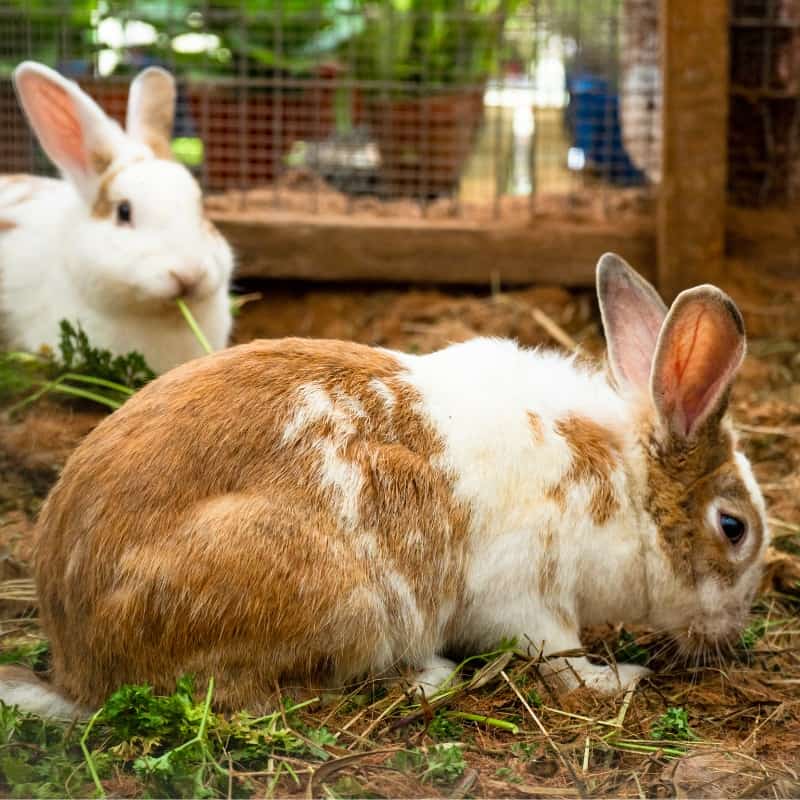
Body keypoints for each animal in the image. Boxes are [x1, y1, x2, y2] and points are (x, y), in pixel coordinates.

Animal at [0, 253, 768, 716]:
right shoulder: (528, 597)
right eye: (733, 528)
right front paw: (618, 680)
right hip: (336, 594)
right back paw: (429, 675)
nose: (731, 630)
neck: (620, 483)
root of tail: (79, 664)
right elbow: (559, 657)